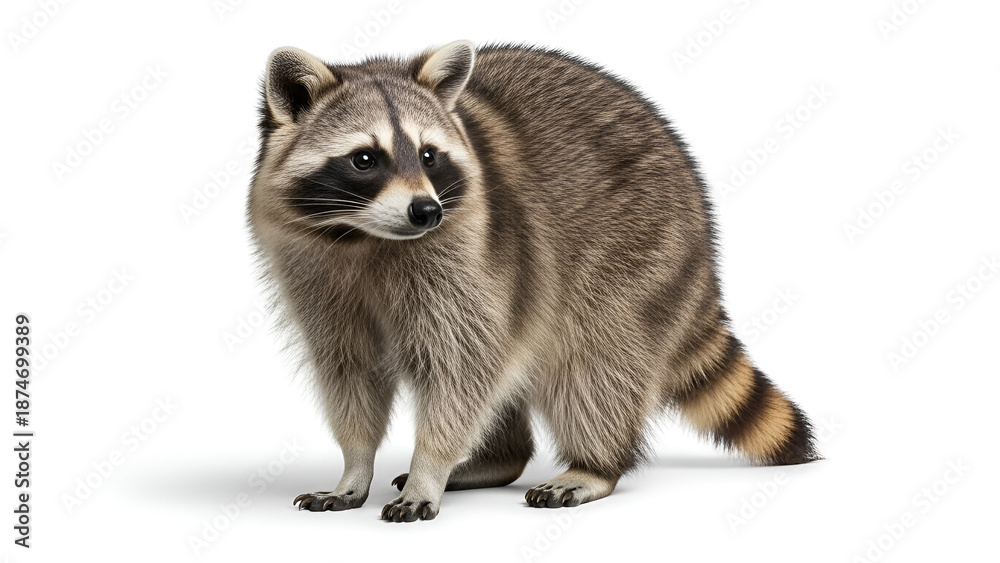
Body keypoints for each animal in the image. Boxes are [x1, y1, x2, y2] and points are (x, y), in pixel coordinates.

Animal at [247, 41, 819, 522]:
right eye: (365, 158)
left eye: (429, 155)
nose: (426, 211)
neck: (368, 237)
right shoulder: (313, 272)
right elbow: (351, 369)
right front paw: (355, 466)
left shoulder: (472, 252)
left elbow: (460, 369)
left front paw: (431, 467)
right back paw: (498, 459)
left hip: (639, 249)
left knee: (595, 361)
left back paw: (594, 464)